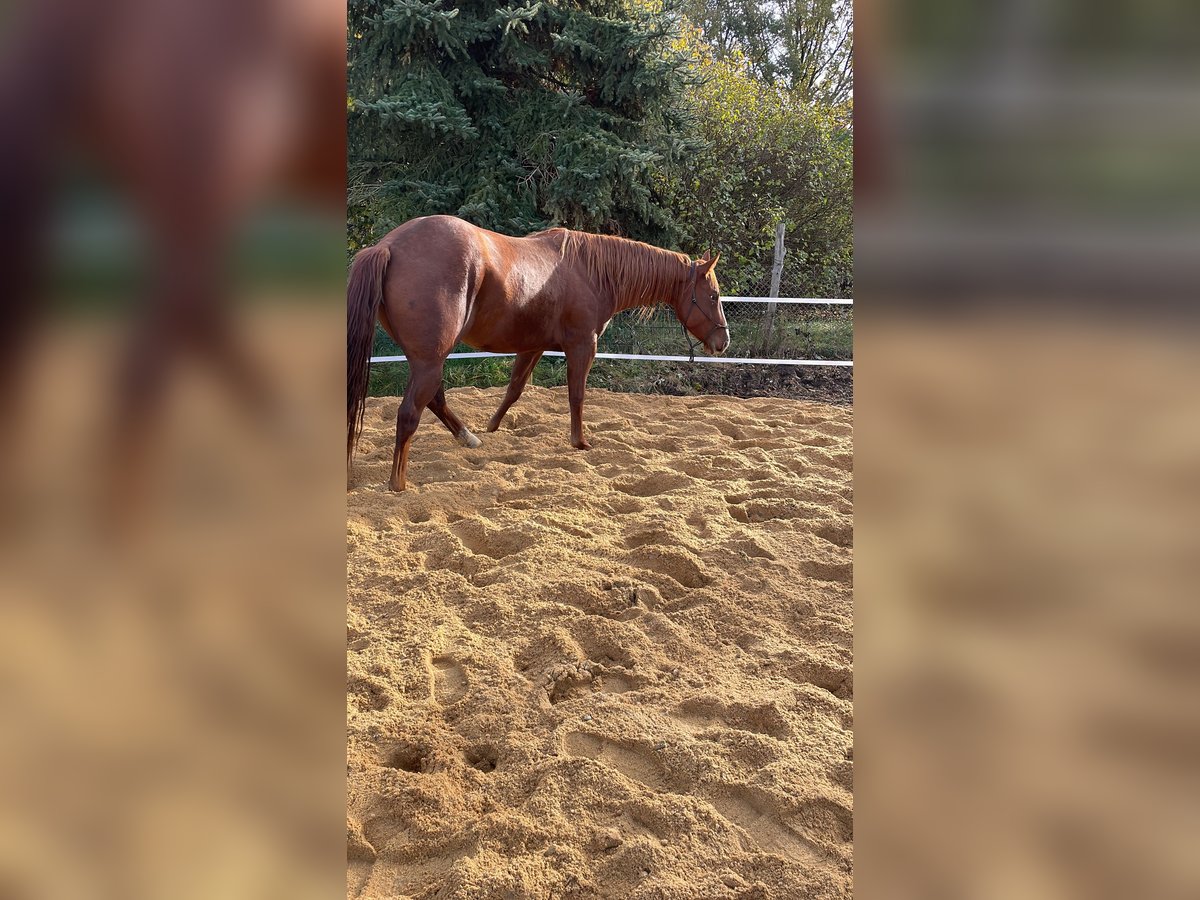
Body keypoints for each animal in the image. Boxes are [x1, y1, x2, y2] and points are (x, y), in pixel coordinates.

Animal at [343, 217, 724, 494]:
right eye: (715, 295)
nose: (724, 341)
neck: (589, 270)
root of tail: (387, 246)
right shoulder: (583, 345)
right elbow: (576, 395)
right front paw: (580, 442)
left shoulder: (533, 346)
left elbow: (514, 390)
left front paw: (493, 428)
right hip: (430, 361)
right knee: (410, 413)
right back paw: (398, 484)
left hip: (426, 360)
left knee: (434, 400)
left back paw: (468, 437)